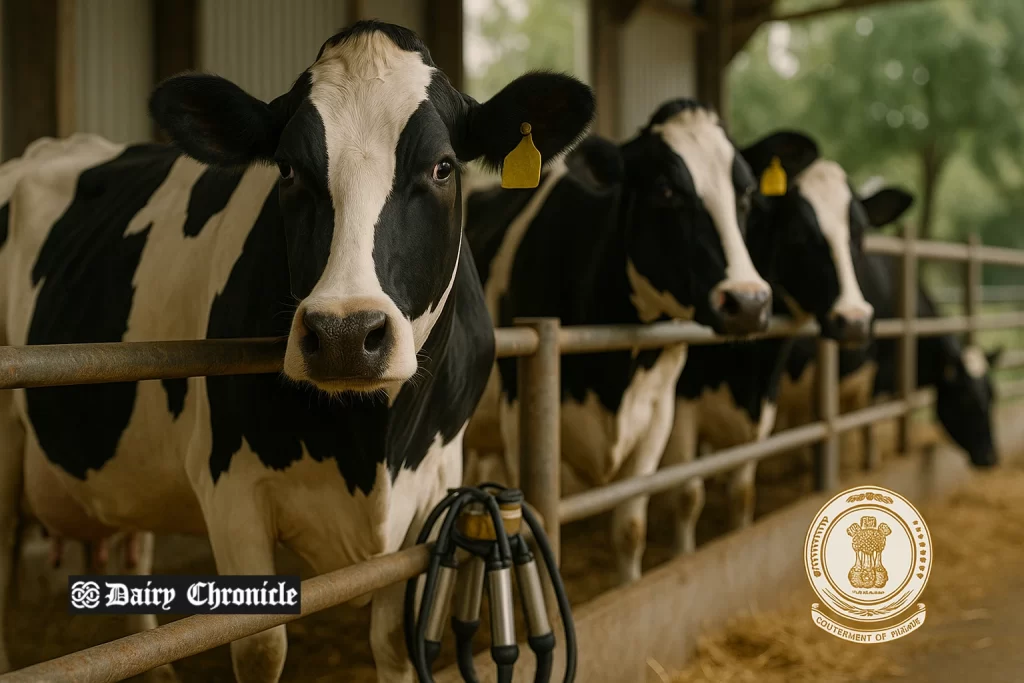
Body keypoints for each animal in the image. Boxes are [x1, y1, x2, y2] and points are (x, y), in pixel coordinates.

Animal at [0, 21, 595, 682]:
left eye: (443, 167)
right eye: (286, 169)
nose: (344, 334)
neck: (369, 447)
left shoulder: (436, 486)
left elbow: (396, 639)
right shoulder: (229, 487)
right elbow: (262, 647)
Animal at [464, 100, 775, 583]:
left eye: (744, 195)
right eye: (665, 189)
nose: (749, 302)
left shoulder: (658, 417)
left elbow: (630, 528)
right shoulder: (520, 421)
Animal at [663, 142, 915, 555]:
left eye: (859, 233)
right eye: (798, 232)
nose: (855, 320)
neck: (745, 368)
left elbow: (742, 495)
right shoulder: (681, 408)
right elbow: (686, 495)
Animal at [776, 189, 1002, 470]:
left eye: (992, 395)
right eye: (966, 398)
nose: (991, 457)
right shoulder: (873, 372)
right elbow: (866, 419)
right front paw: (868, 460)